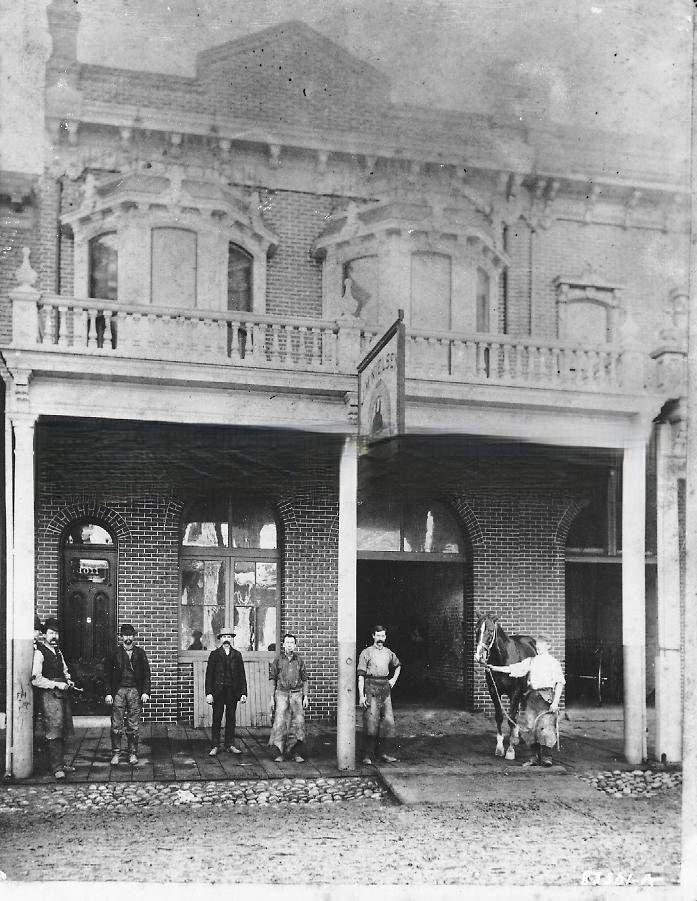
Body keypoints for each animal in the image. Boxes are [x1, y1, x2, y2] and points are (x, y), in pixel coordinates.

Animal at [470, 612, 536, 760]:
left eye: (490, 630)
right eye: (476, 630)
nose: (479, 656)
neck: (504, 659)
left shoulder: (515, 692)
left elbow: (510, 719)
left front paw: (510, 750)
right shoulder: (494, 691)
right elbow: (500, 717)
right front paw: (500, 748)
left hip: (526, 691)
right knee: (516, 714)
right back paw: (516, 736)